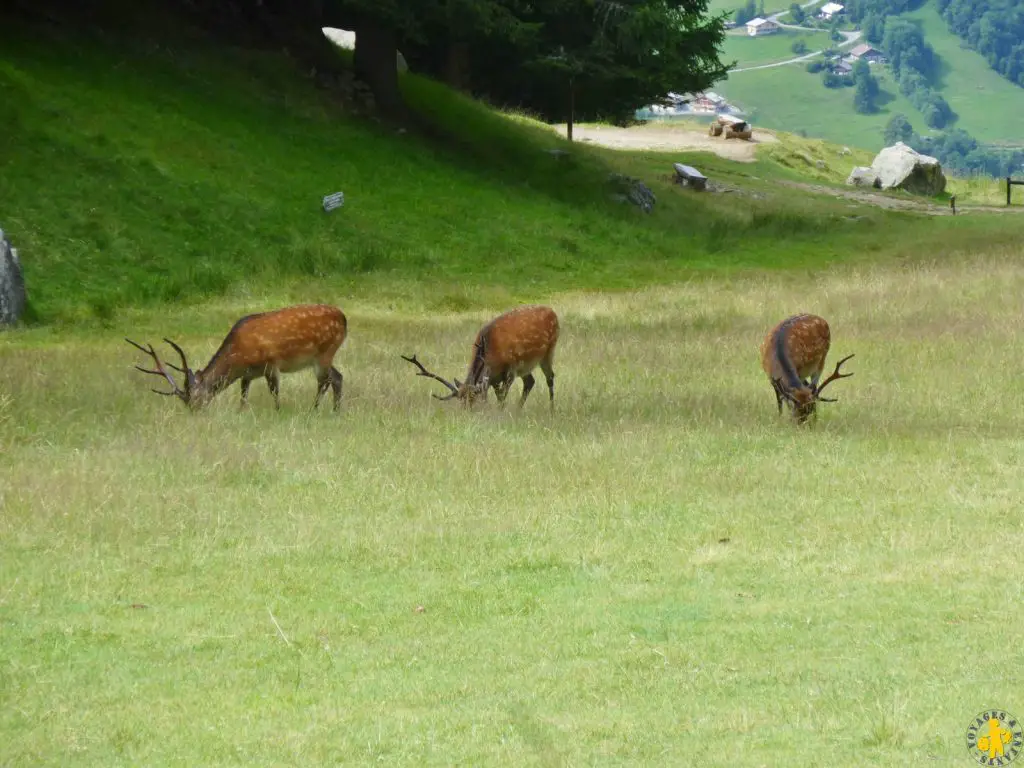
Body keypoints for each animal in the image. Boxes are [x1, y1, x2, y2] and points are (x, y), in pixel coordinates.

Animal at [122, 307, 348, 415]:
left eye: (195, 399)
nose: (195, 415)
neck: (239, 357)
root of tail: (344, 319)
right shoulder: (247, 375)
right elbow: (243, 395)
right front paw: (241, 412)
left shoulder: (271, 363)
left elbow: (274, 392)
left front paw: (278, 412)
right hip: (321, 357)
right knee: (336, 377)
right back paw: (330, 410)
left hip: (325, 352)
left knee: (327, 380)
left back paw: (319, 410)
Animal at [401, 305, 561, 411]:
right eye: (460, 401)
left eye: (474, 400)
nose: (466, 413)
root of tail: (552, 312)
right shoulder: (494, 377)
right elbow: (498, 395)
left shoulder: (511, 369)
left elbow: (502, 396)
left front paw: (500, 412)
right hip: (526, 366)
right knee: (530, 381)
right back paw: (518, 409)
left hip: (548, 351)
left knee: (550, 377)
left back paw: (552, 409)